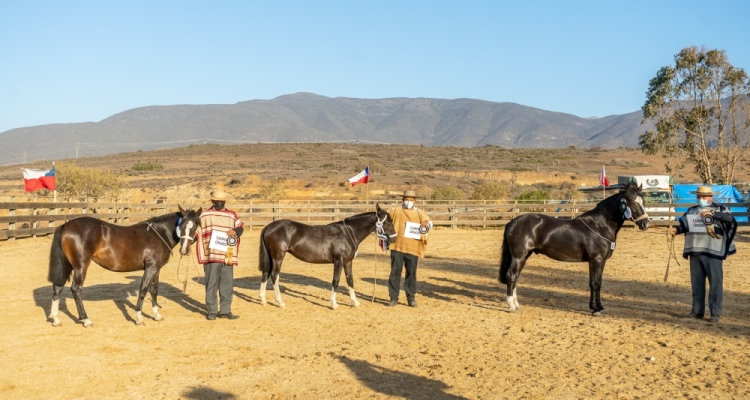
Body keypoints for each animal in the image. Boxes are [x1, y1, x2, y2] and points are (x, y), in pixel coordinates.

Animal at [47, 205, 203, 326]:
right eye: (182, 226)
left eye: (195, 226)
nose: (184, 250)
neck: (159, 234)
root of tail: (66, 225)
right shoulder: (151, 267)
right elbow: (143, 290)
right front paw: (139, 317)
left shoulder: (156, 269)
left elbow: (154, 290)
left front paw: (157, 315)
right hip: (81, 266)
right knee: (76, 289)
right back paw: (86, 319)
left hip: (68, 265)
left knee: (57, 288)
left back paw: (56, 319)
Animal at [260, 203, 396, 310]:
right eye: (388, 223)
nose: (394, 239)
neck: (349, 233)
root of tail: (268, 227)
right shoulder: (339, 261)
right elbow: (335, 281)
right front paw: (334, 304)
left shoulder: (348, 262)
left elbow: (350, 280)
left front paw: (355, 302)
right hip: (278, 257)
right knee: (274, 276)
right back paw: (280, 302)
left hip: (272, 258)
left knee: (266, 274)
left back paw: (263, 300)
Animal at [500, 184, 652, 316]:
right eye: (632, 202)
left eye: (643, 202)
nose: (645, 224)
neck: (599, 226)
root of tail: (512, 222)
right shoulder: (595, 260)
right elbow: (594, 283)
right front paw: (595, 309)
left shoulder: (601, 261)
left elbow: (598, 283)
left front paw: (599, 307)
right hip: (519, 257)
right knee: (511, 276)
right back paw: (511, 306)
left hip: (524, 256)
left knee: (516, 277)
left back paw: (517, 304)